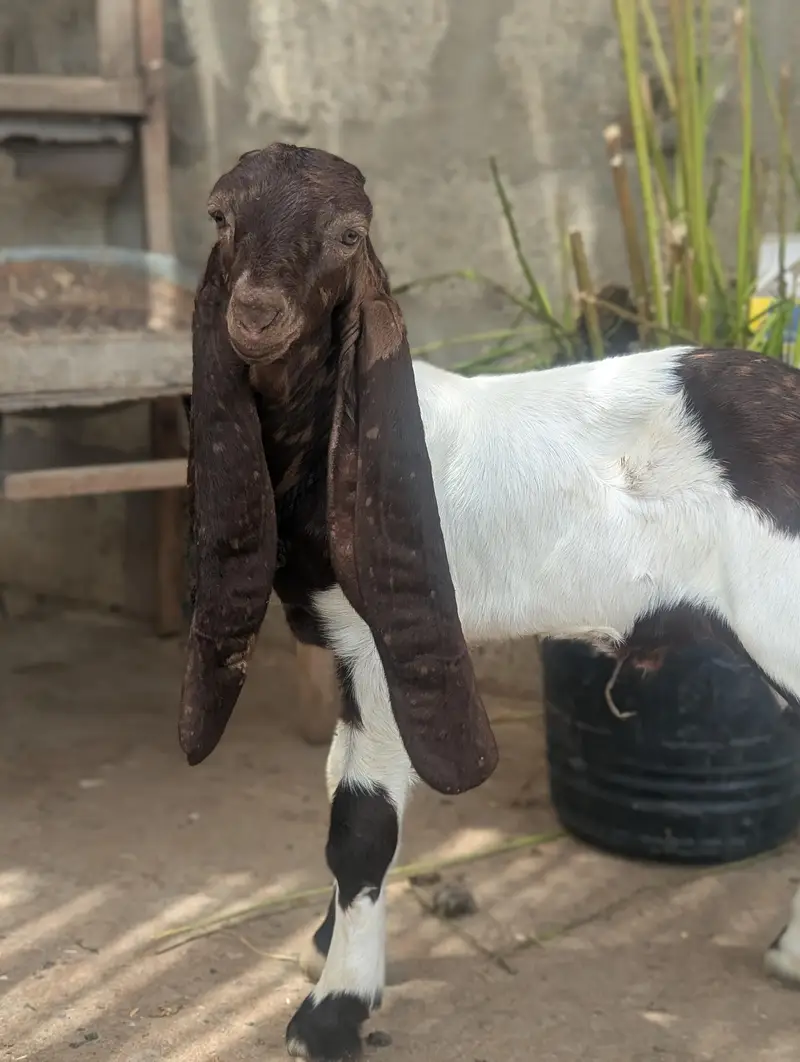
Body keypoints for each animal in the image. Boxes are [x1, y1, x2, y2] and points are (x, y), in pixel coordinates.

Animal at [181, 142, 800, 1061]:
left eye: (349, 233)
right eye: (220, 217)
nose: (256, 314)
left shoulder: (387, 643)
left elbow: (360, 824)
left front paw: (333, 1011)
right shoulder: (349, 653)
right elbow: (337, 779)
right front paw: (328, 949)